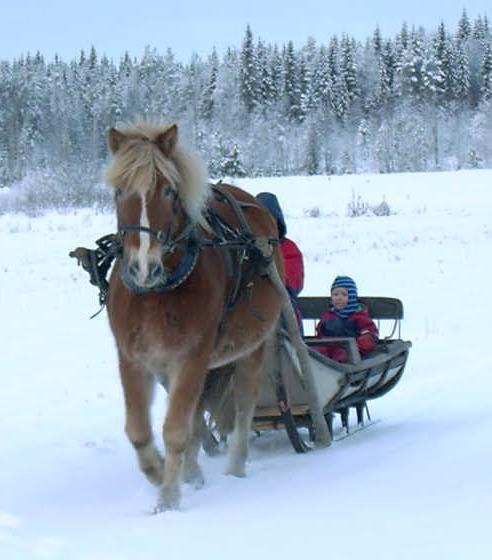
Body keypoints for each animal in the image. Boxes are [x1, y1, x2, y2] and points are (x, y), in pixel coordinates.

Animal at [104, 122, 284, 512]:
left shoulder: (193, 355)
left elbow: (175, 429)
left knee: (244, 404)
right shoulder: (132, 358)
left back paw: (234, 467)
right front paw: (161, 472)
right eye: (119, 190)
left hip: (252, 348)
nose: (143, 267)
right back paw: (192, 469)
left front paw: (168, 499)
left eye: (168, 190)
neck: (157, 292)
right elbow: (139, 431)